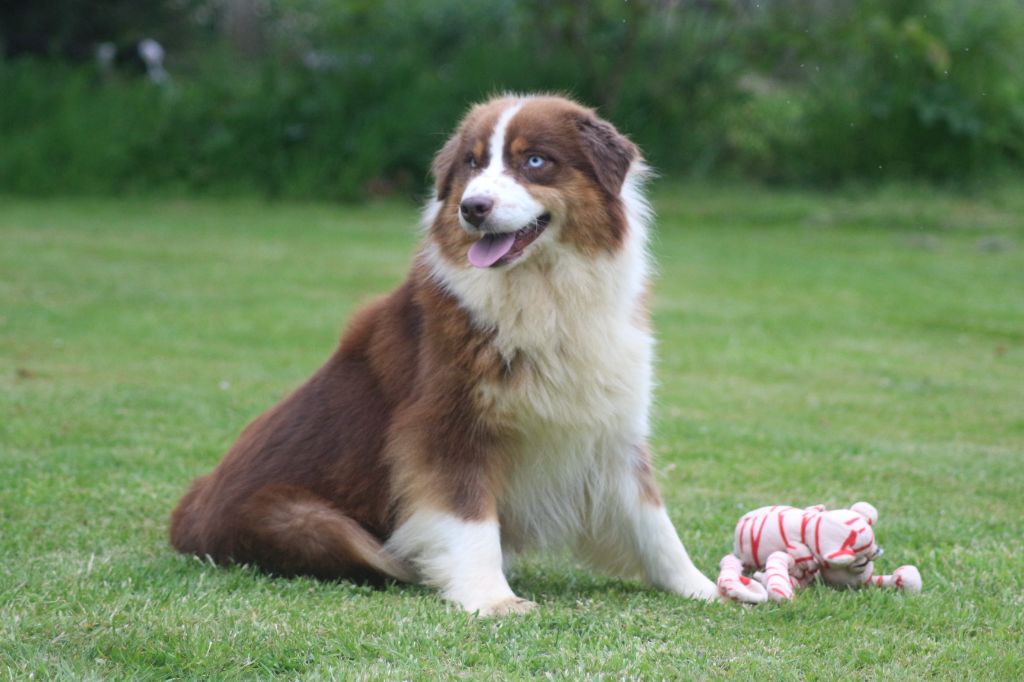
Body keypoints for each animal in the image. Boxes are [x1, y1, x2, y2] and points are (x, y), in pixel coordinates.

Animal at [169, 94, 720, 610]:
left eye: (534, 161)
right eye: (472, 164)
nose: (472, 207)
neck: (544, 293)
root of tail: (186, 517)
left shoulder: (609, 425)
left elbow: (653, 522)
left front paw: (702, 588)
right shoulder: (445, 424)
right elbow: (468, 517)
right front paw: (490, 598)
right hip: (304, 519)